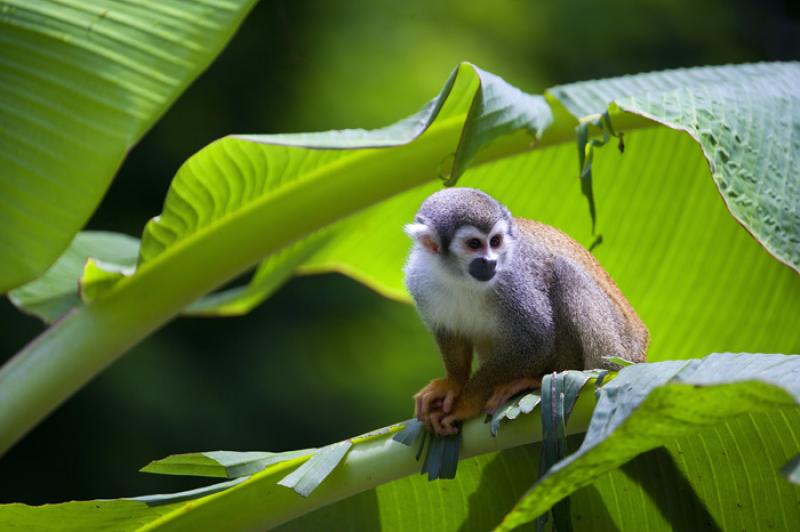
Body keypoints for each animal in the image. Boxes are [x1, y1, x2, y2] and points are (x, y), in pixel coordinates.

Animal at [404, 189, 648, 434]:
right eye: (473, 244)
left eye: (495, 241)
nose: (490, 262)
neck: (459, 276)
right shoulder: (419, 279)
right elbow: (450, 332)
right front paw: (452, 384)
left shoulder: (513, 277)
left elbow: (535, 339)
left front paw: (463, 405)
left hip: (616, 348)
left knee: (563, 272)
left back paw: (550, 377)